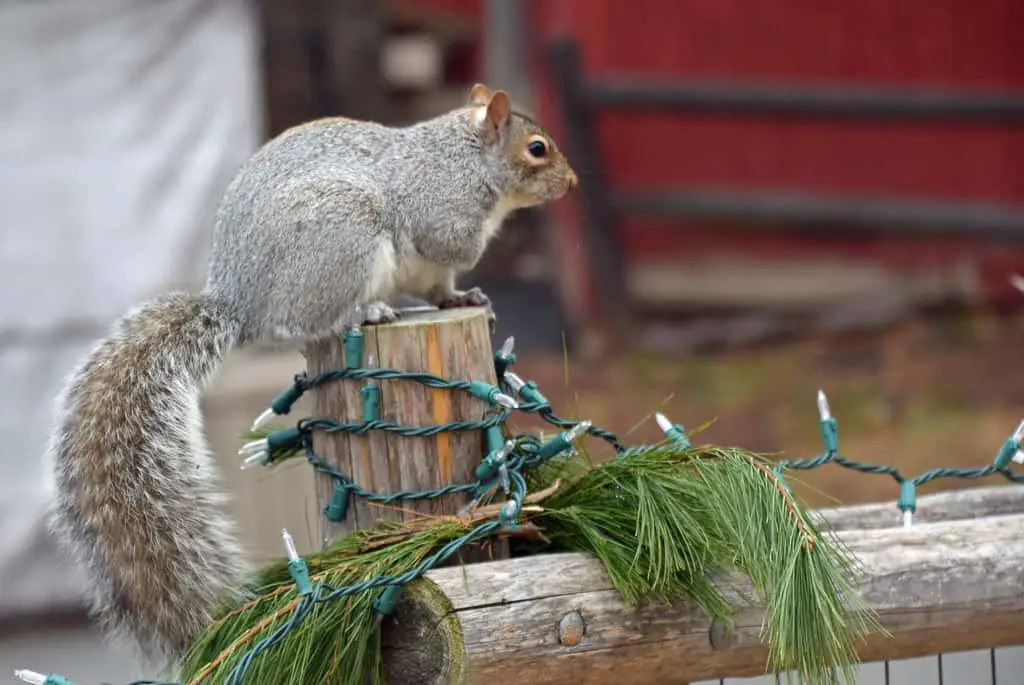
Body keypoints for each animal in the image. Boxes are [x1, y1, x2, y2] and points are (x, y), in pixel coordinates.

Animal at [46, 83, 577, 663]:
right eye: (537, 149)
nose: (572, 182)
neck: (465, 154)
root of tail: (239, 303)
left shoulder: (430, 271)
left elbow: (441, 287)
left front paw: (467, 298)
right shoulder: (441, 208)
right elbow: (451, 242)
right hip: (342, 235)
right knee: (307, 321)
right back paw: (367, 312)